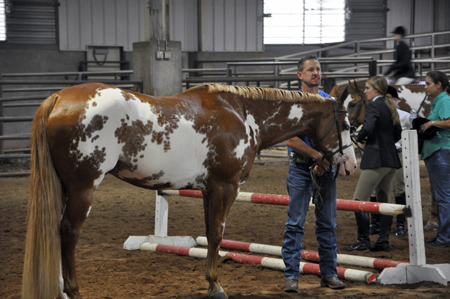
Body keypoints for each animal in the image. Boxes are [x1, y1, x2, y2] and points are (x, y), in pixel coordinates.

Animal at [22, 82, 356, 299]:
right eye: (347, 126)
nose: (350, 164)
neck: (244, 114)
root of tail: (59, 97)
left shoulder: (208, 190)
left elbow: (210, 233)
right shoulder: (225, 187)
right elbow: (217, 234)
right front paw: (216, 286)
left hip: (67, 188)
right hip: (83, 188)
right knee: (68, 234)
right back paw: (73, 291)